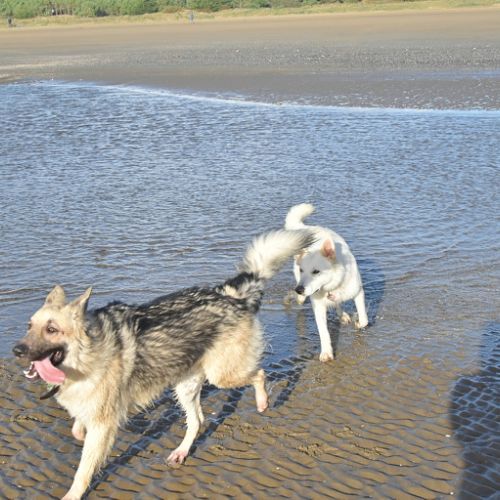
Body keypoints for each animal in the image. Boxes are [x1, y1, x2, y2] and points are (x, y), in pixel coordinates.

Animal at [13, 228, 313, 500]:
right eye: (29, 326)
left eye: (52, 329)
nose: (16, 350)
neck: (86, 356)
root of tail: (230, 296)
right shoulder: (94, 415)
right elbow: (78, 428)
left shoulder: (101, 425)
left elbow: (83, 471)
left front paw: (73, 494)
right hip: (186, 387)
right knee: (198, 421)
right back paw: (181, 452)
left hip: (223, 374)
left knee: (259, 374)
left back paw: (263, 402)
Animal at [285, 203, 368, 362]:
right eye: (302, 270)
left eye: (316, 271)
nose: (299, 289)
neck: (331, 286)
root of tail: (308, 228)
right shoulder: (318, 306)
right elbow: (323, 332)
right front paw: (326, 353)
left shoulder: (357, 291)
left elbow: (363, 318)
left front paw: (358, 322)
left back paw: (342, 315)